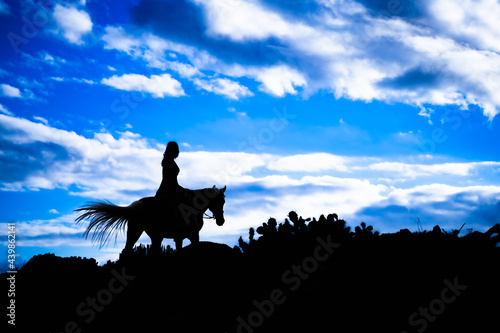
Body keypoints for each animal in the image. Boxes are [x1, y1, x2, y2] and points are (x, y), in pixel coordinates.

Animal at [74, 184, 227, 254]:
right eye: (220, 201)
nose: (221, 221)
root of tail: (138, 204)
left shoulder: (179, 238)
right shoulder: (194, 235)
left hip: (143, 233)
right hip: (147, 233)